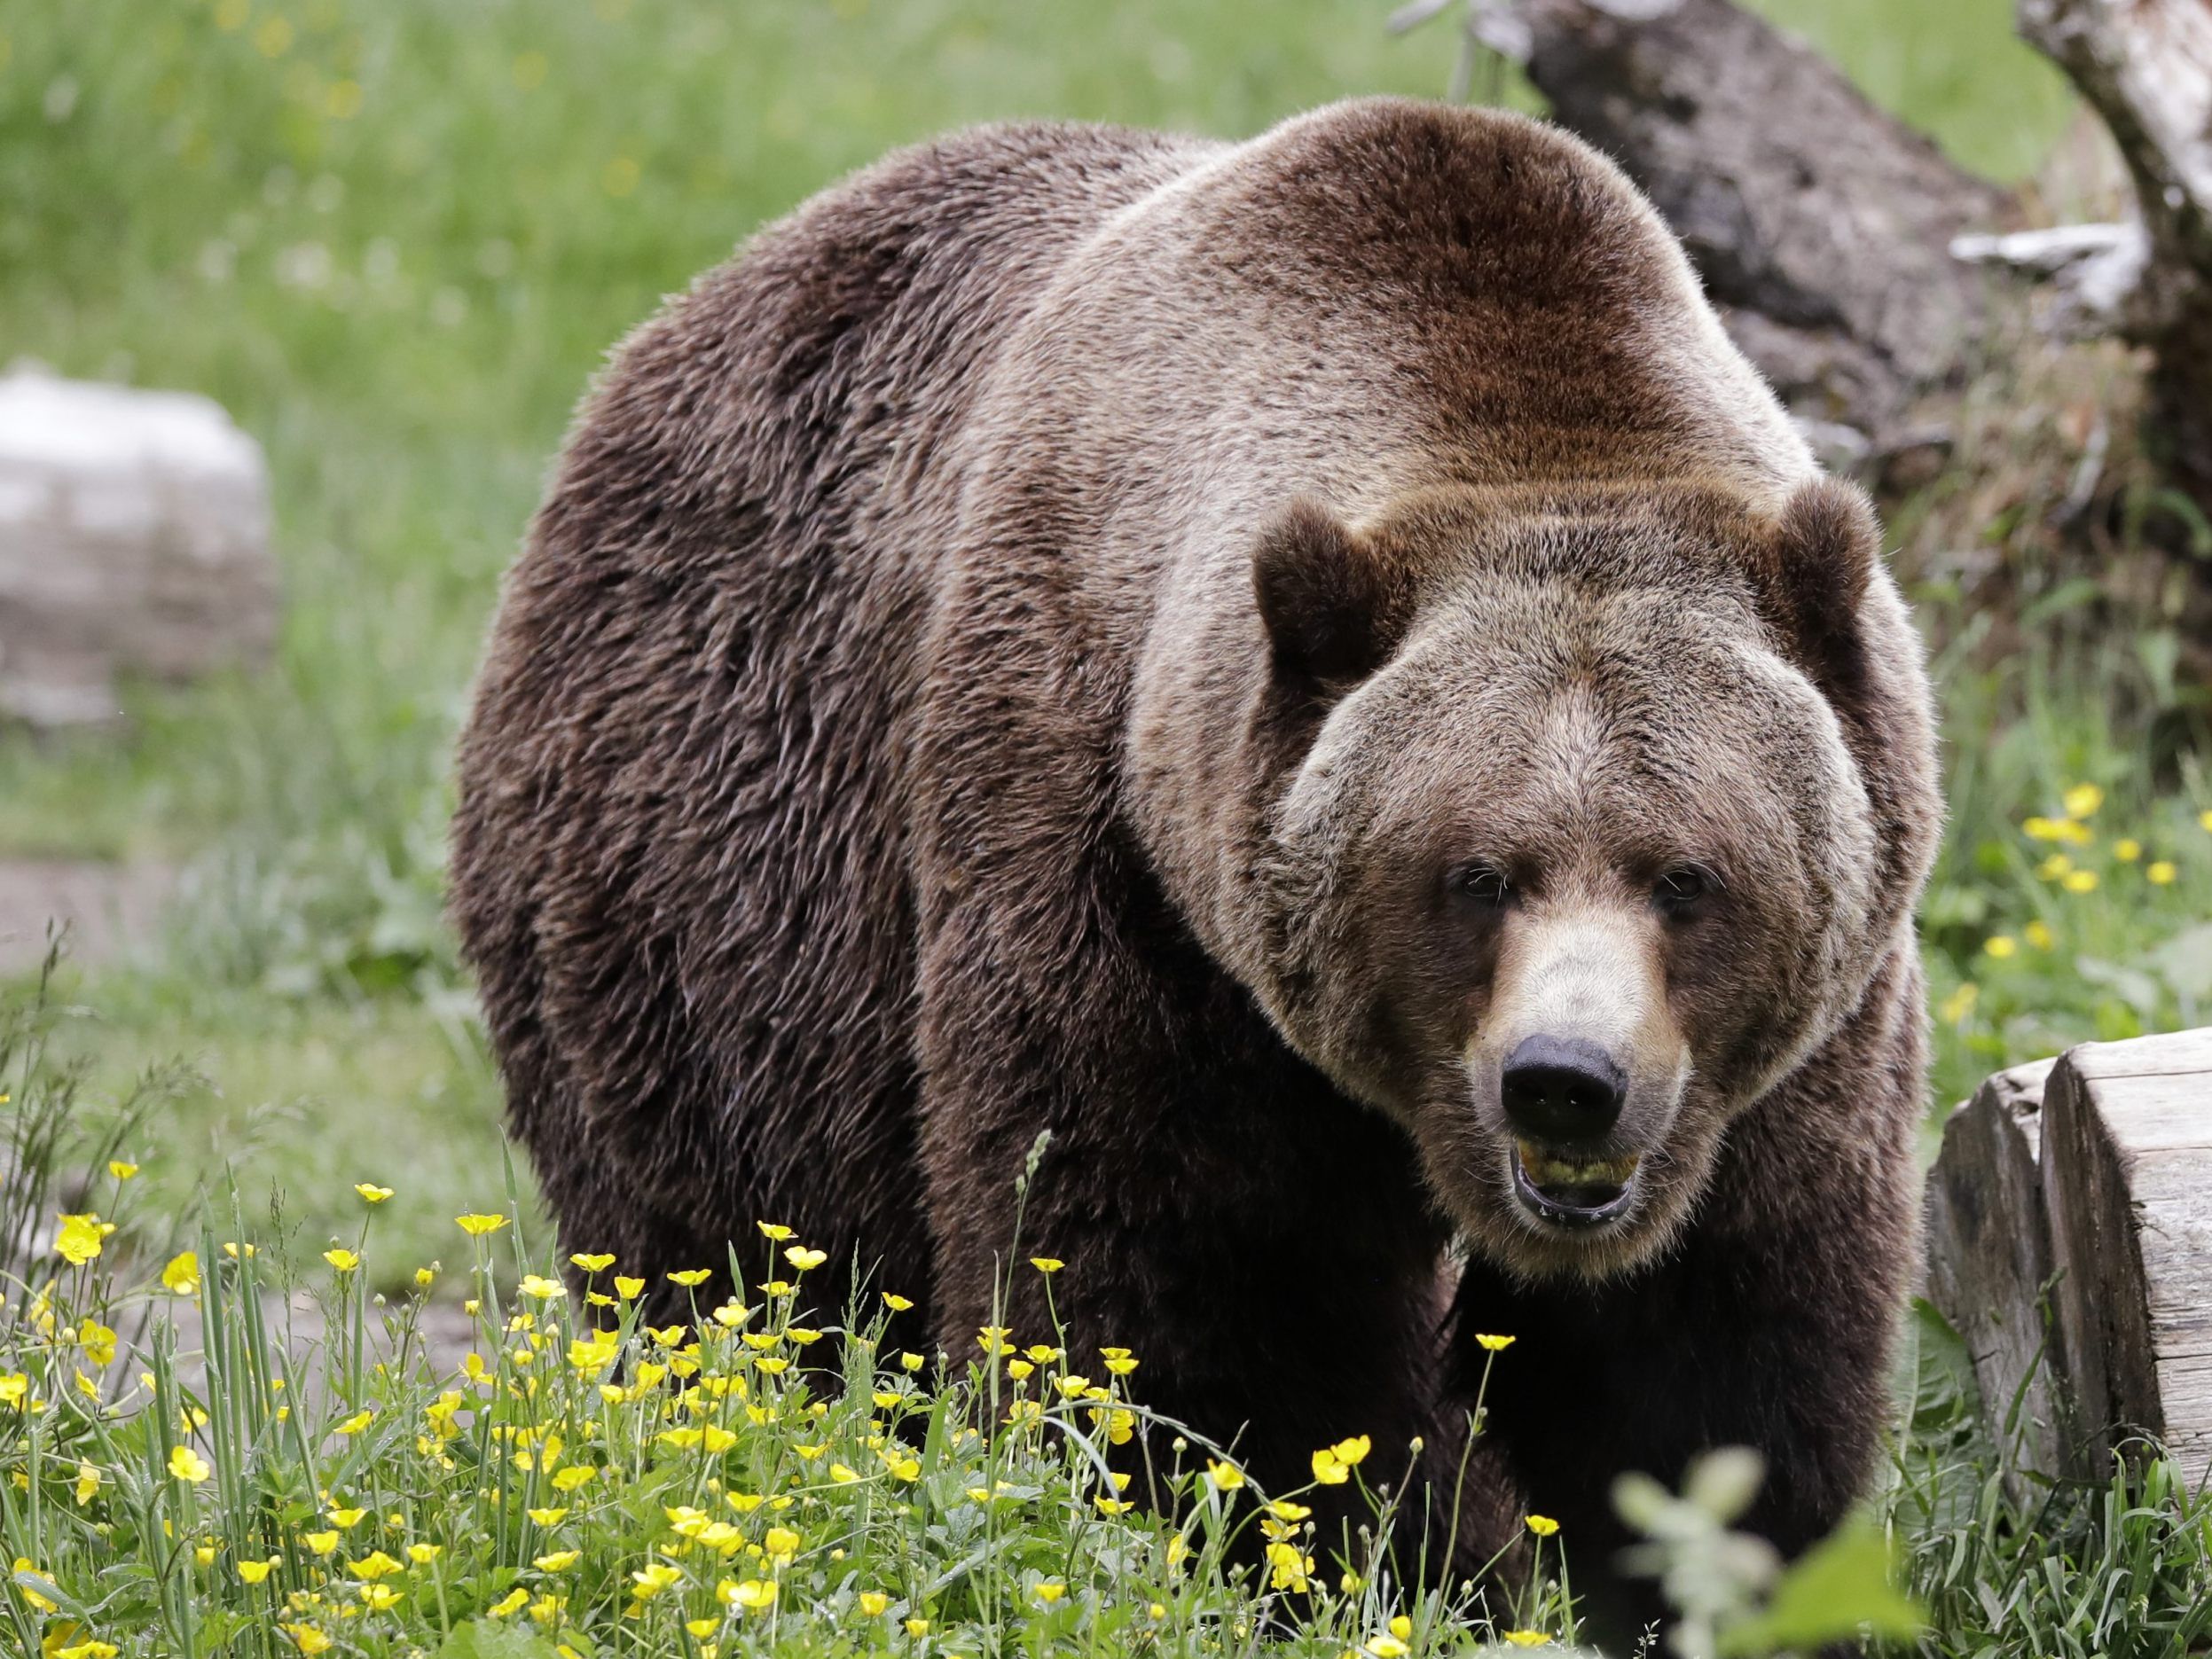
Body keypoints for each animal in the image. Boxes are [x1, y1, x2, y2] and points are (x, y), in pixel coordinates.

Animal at [449, 97, 1937, 1646]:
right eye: (1474, 871)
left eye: (1684, 873)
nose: (1564, 1079)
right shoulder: (1119, 873)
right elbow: (1189, 1304)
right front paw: (1324, 1555)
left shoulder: (1790, 1058)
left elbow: (1714, 1352)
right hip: (713, 883)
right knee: (734, 1249)